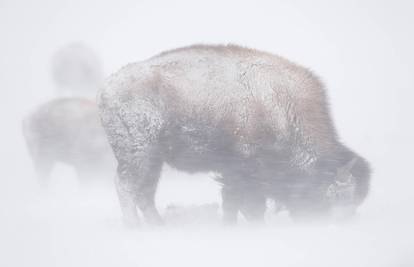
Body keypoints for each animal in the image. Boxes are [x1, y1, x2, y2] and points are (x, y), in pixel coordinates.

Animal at [98, 44, 370, 226]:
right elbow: (248, 206)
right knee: (127, 187)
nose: (324, 227)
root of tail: (108, 87)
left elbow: (233, 203)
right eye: (333, 199)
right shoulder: (245, 172)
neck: (281, 109)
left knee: (145, 192)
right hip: (138, 154)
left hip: (154, 159)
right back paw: (135, 227)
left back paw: (158, 226)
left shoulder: (232, 174)